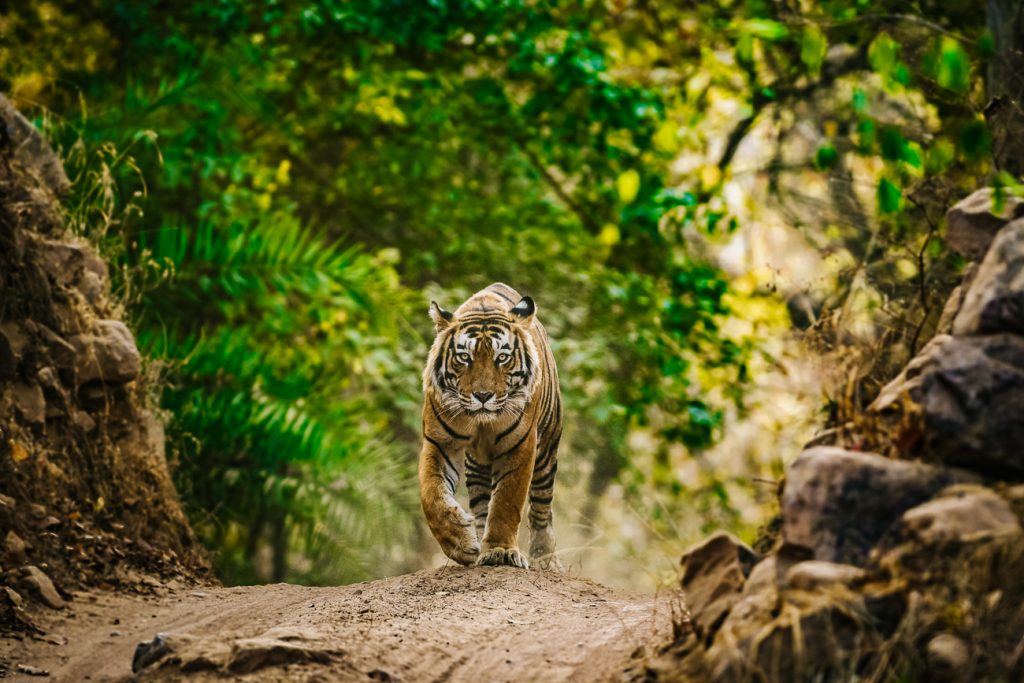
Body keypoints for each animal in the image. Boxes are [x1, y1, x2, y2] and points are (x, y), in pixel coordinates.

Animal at [419, 280, 565, 569]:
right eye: (464, 357)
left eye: (502, 358)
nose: (483, 396)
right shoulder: (439, 443)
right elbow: (432, 495)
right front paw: (460, 543)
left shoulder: (520, 445)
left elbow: (507, 501)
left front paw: (500, 551)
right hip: (476, 464)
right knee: (481, 504)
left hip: (546, 453)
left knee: (541, 507)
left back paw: (546, 560)